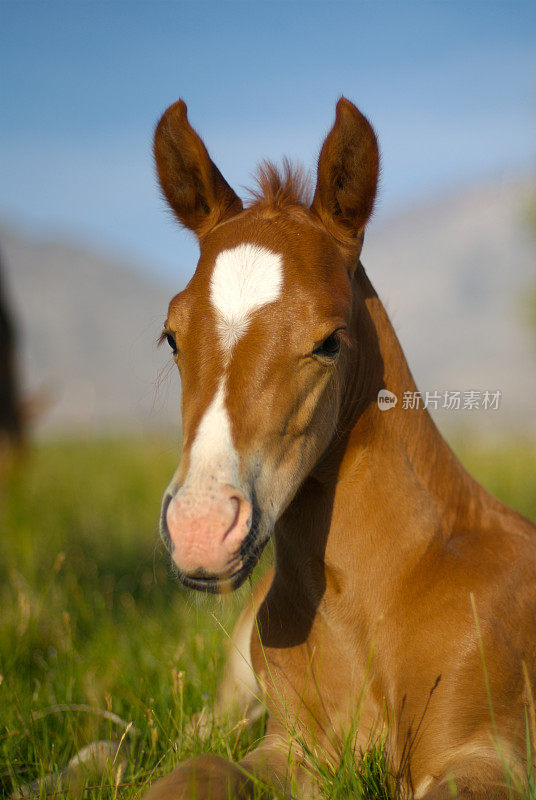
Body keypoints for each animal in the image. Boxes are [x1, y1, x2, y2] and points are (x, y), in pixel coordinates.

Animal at [144, 97, 536, 796]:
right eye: (171, 336)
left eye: (329, 340)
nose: (201, 530)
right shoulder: (292, 748)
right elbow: (193, 771)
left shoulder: (486, 753)